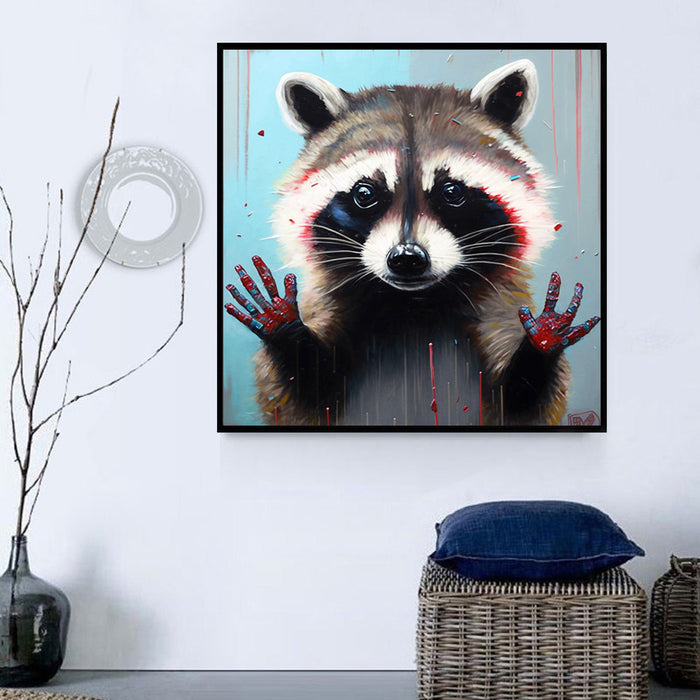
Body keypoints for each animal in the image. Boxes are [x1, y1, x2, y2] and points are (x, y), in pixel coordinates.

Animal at [225, 60, 600, 427]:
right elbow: (306, 392)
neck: (415, 305)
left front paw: (543, 339)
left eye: (452, 192)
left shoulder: (498, 312)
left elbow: (523, 401)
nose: (407, 258)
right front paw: (284, 324)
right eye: (365, 194)